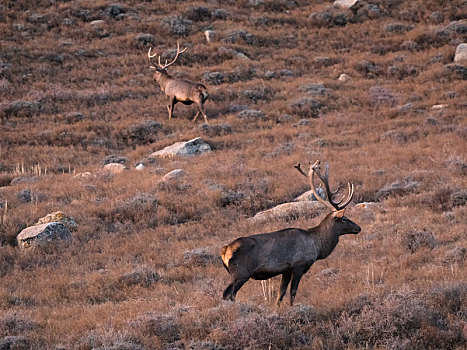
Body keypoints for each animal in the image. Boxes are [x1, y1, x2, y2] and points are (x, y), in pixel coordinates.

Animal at [220, 160, 362, 304]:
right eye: (344, 219)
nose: (358, 228)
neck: (317, 246)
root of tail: (225, 250)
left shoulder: (286, 270)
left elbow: (280, 294)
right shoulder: (299, 265)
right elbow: (293, 292)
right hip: (241, 272)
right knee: (228, 293)